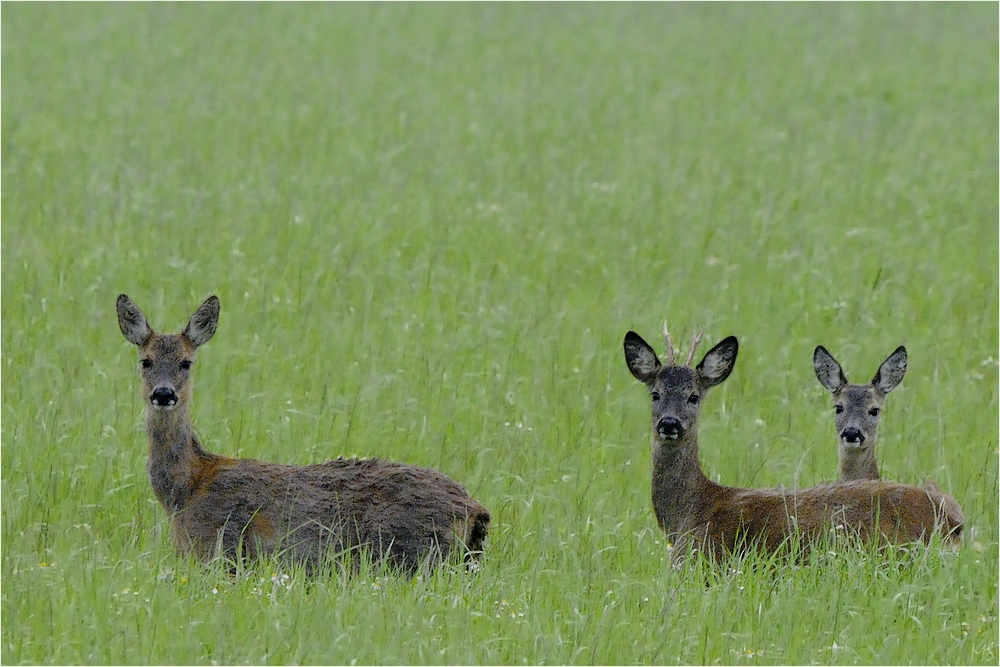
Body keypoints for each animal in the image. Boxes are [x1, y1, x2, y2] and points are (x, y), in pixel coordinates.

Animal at [117, 294, 488, 576]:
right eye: (146, 361)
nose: (164, 394)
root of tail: (475, 508)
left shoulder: (217, 549)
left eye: (186, 362)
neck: (184, 489)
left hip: (413, 553)